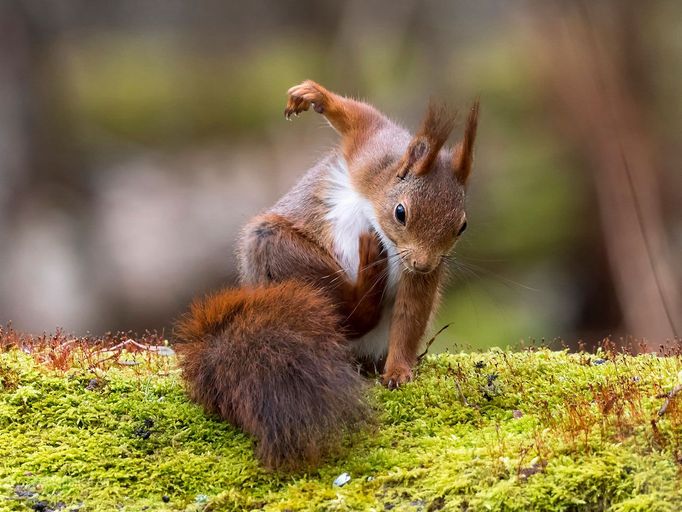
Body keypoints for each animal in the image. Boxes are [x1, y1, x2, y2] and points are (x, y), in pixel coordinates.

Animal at [178, 80, 480, 468]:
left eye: (462, 226)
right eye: (401, 213)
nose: (424, 264)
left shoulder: (418, 273)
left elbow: (410, 315)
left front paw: (398, 371)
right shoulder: (370, 151)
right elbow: (359, 118)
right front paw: (313, 96)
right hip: (276, 248)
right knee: (349, 312)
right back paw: (367, 276)